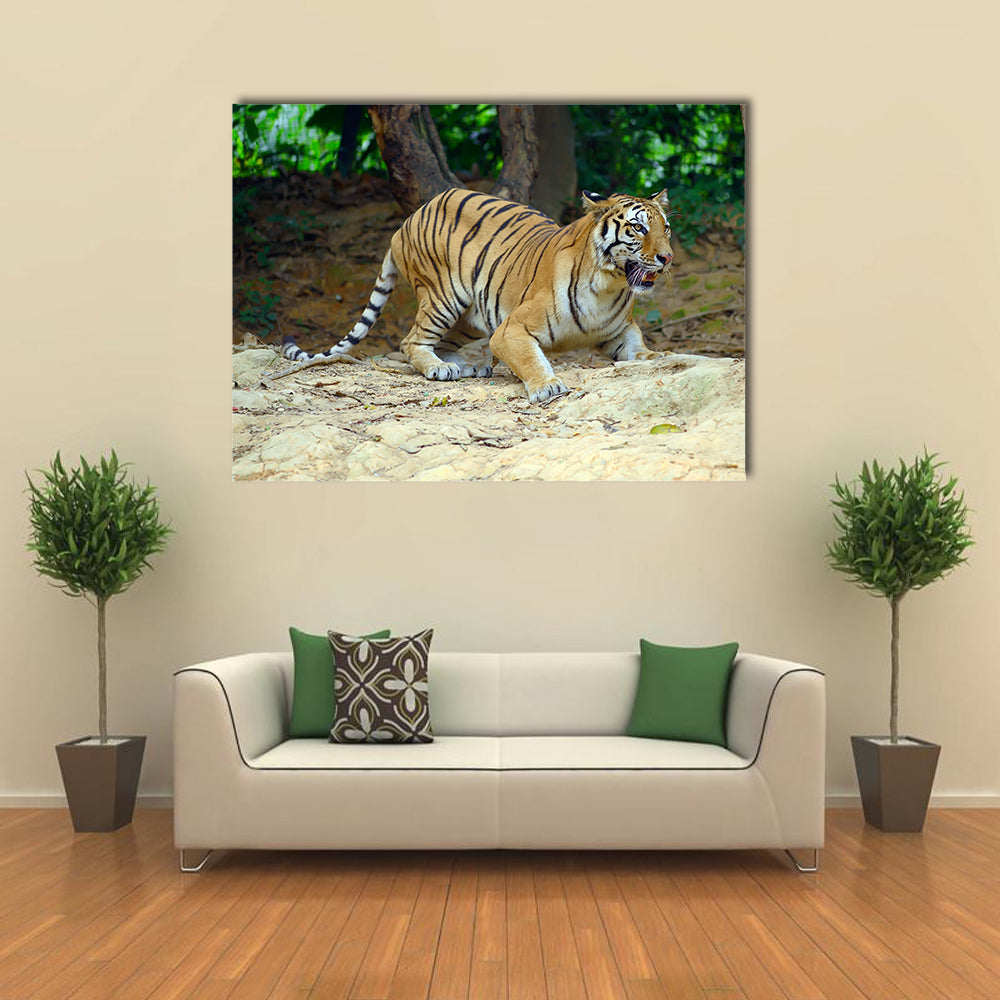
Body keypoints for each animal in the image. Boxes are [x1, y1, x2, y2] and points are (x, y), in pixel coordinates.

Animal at [281, 187, 674, 403]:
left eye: (666, 228)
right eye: (638, 228)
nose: (667, 257)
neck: (609, 283)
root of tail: (405, 222)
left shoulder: (620, 332)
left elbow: (640, 350)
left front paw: (662, 356)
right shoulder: (510, 330)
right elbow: (532, 359)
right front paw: (547, 385)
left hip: (471, 316)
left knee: (441, 342)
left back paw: (468, 366)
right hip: (443, 297)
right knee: (411, 342)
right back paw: (441, 369)